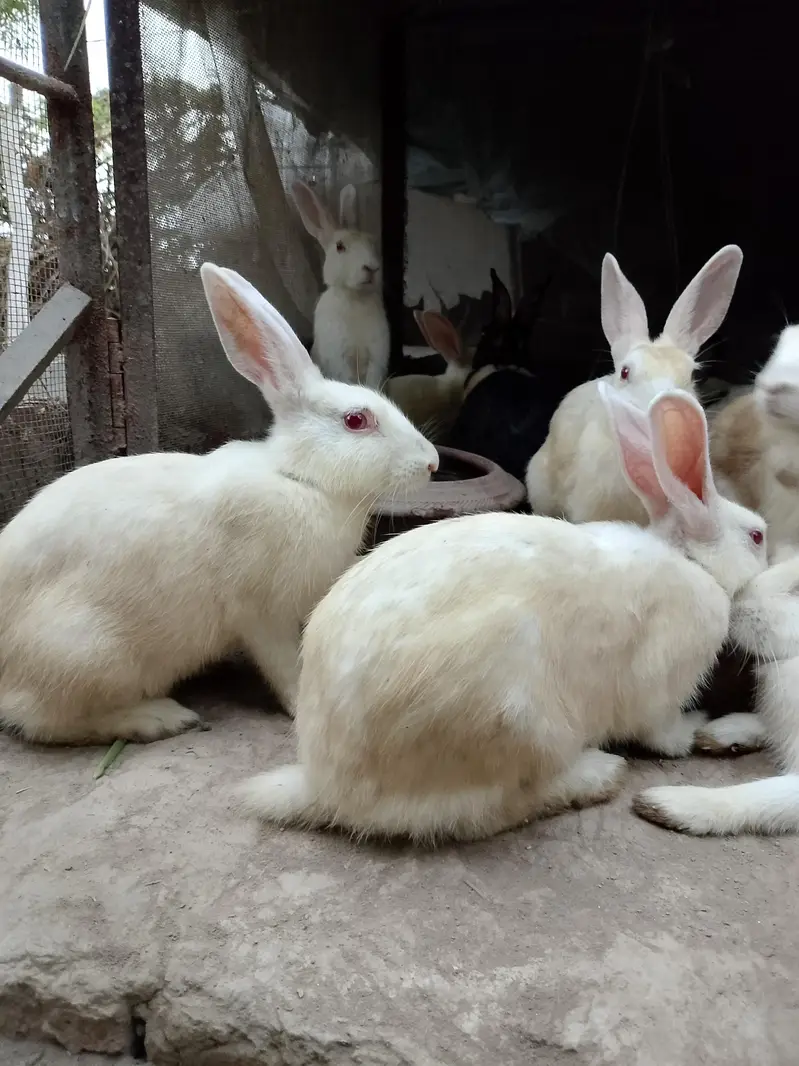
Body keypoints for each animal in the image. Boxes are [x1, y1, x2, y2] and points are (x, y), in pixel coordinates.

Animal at [0, 265, 438, 746]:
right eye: (356, 420)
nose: (432, 463)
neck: (302, 482)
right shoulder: (261, 613)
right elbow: (284, 664)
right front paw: (301, 704)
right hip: (87, 653)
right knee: (42, 718)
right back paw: (161, 718)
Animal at [236, 381, 767, 844]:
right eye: (757, 536)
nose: (769, 558)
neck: (693, 563)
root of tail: (327, 788)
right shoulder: (660, 685)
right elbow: (661, 731)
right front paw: (694, 729)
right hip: (518, 719)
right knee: (497, 807)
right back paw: (598, 774)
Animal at [292, 180, 389, 390]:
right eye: (340, 246)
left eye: (372, 242)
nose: (372, 268)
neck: (354, 296)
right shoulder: (339, 357)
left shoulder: (376, 356)